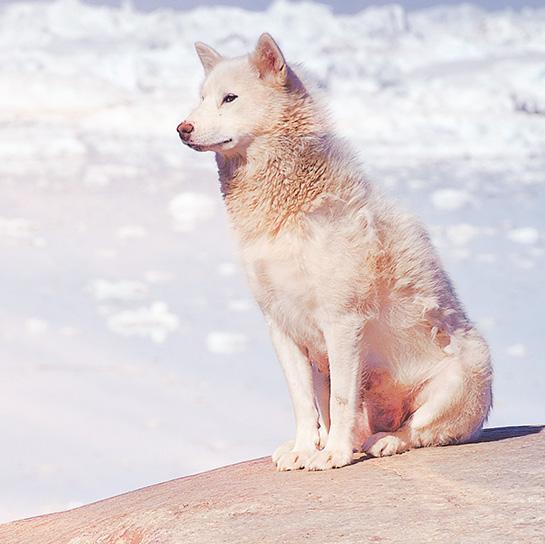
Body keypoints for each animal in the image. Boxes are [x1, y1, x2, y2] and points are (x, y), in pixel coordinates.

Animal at [178, 31, 492, 470]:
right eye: (202, 97)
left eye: (230, 98)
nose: (182, 128)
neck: (286, 210)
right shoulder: (283, 328)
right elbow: (304, 404)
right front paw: (305, 450)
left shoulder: (343, 323)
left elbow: (341, 401)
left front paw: (335, 456)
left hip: (463, 375)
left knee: (416, 432)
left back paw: (383, 441)